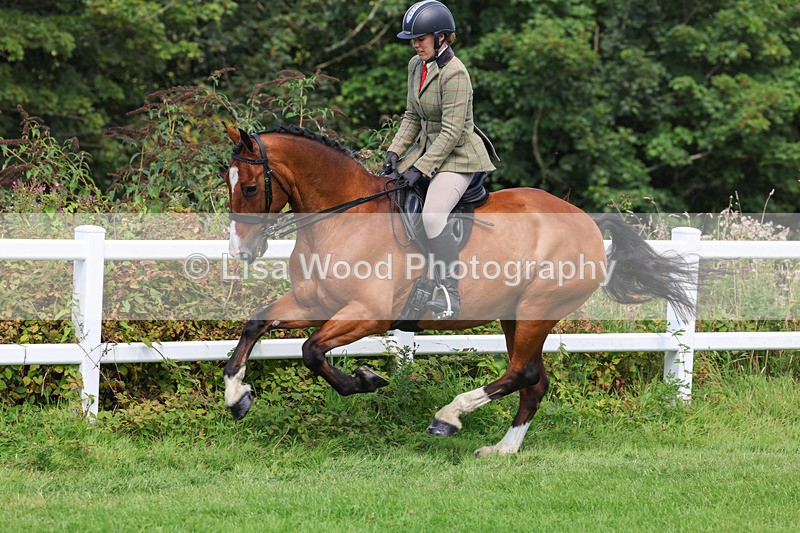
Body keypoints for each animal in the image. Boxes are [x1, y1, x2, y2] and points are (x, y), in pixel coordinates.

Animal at [221, 123, 694, 456]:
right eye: (228, 184)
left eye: (250, 186)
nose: (240, 251)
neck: (342, 220)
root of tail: (588, 222)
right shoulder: (313, 302)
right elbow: (255, 325)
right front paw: (237, 397)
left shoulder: (368, 314)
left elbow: (312, 351)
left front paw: (366, 380)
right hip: (514, 315)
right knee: (534, 380)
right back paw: (503, 450)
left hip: (537, 309)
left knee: (522, 373)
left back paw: (448, 417)